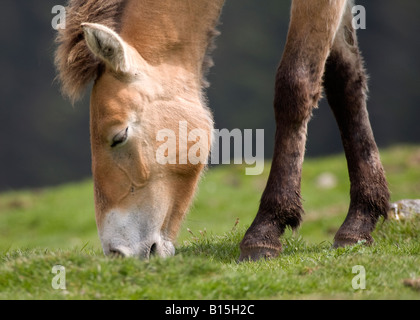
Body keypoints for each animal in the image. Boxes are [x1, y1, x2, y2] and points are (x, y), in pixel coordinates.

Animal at [55, 0, 390, 260]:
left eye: (119, 136)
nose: (117, 254)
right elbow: (344, 77)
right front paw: (360, 221)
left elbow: (295, 84)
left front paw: (265, 230)